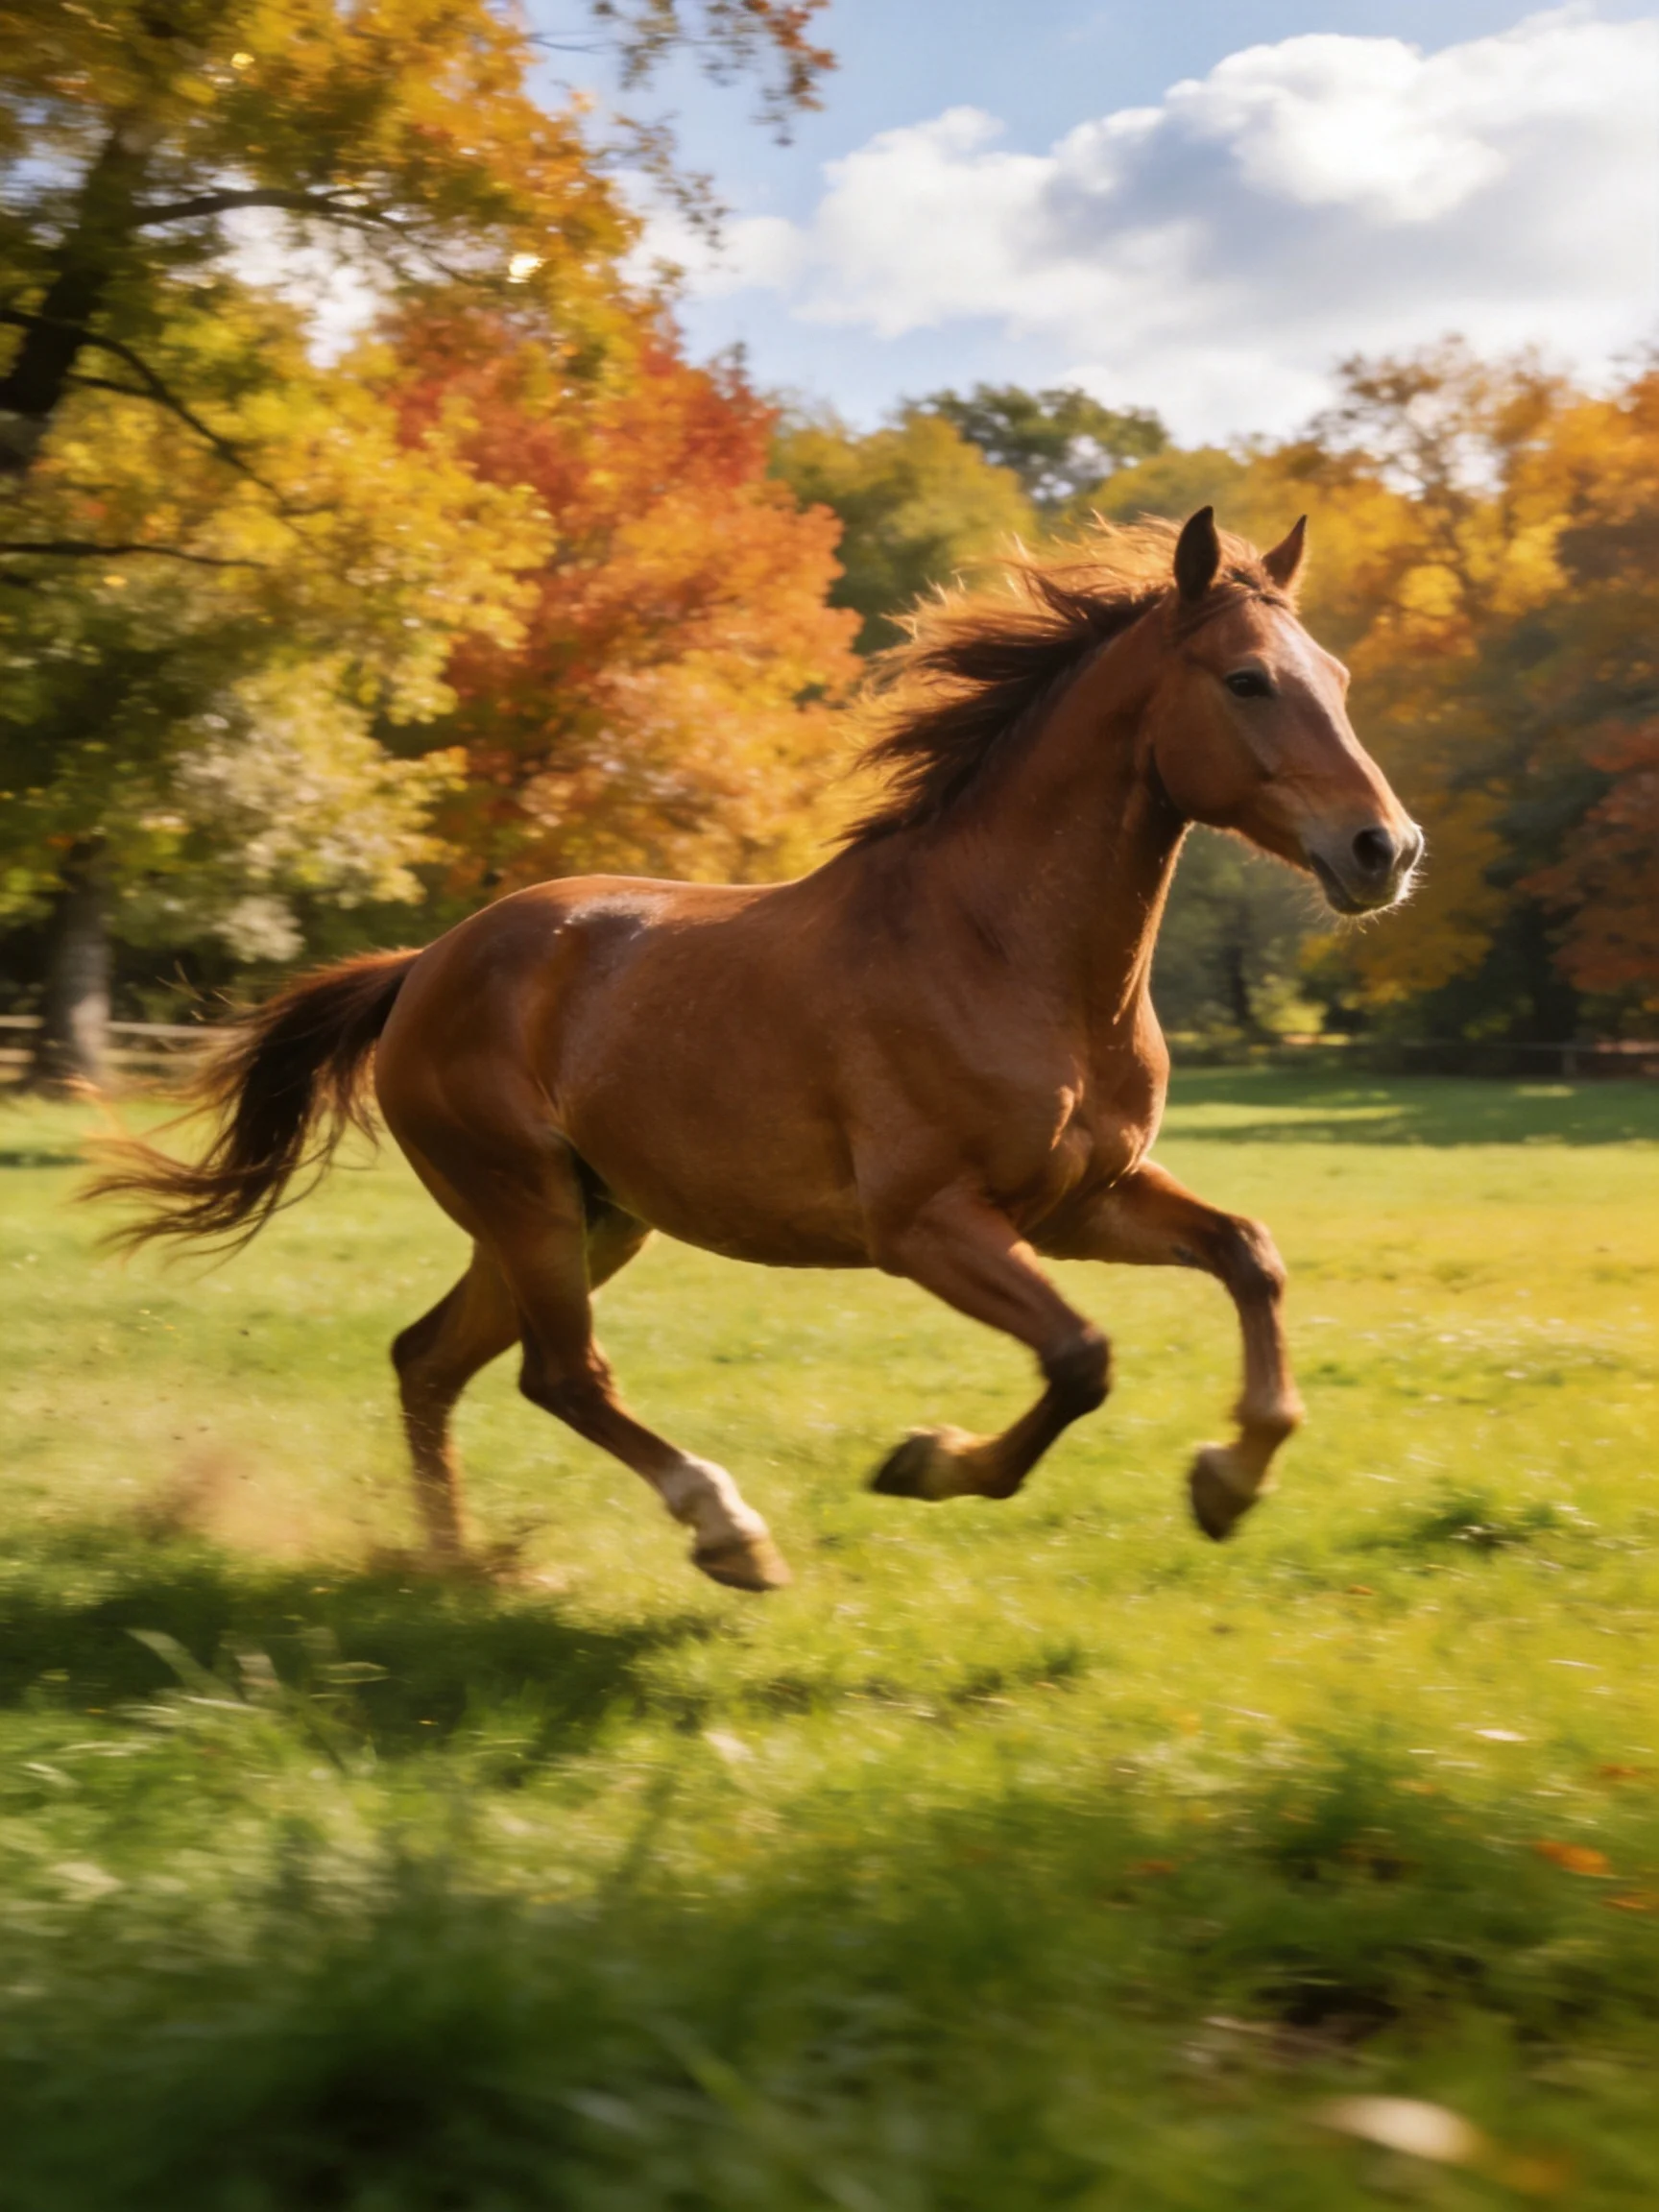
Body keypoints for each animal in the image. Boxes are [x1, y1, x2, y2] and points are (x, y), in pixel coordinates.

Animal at [92, 509, 1422, 1592]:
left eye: (1340, 675)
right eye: (1248, 679)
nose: (1386, 850)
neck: (1006, 953)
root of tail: (425, 966)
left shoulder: (1083, 1202)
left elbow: (1249, 1256)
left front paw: (1227, 1480)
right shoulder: (927, 1224)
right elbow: (1081, 1357)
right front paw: (925, 1462)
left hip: (588, 1218)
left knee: (431, 1360)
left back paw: (454, 1566)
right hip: (527, 1205)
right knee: (561, 1377)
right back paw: (726, 1532)